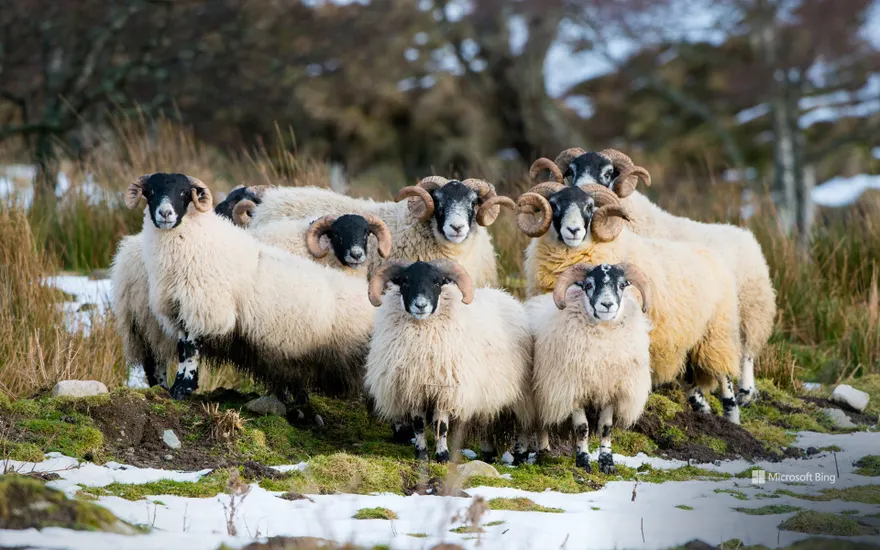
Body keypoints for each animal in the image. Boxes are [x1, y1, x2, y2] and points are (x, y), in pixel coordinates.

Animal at [362, 260, 532, 466]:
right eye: (404, 281)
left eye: (437, 282)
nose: (421, 305)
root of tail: (505, 295)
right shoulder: (414, 389)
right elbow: (418, 426)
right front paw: (421, 455)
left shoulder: (445, 390)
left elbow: (440, 426)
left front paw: (442, 456)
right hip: (486, 392)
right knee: (485, 421)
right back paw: (488, 454)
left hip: (520, 394)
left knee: (524, 424)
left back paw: (521, 456)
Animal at [524, 264, 648, 474]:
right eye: (588, 284)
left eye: (622, 284)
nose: (607, 304)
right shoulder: (572, 389)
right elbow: (582, 428)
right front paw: (583, 462)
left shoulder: (610, 390)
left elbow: (605, 428)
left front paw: (607, 463)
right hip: (539, 394)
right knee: (539, 424)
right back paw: (542, 453)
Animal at [528, 149, 768, 408]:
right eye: (571, 171)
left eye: (608, 173)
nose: (581, 188)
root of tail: (744, 234)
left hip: (747, 312)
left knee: (746, 353)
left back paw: (745, 392)